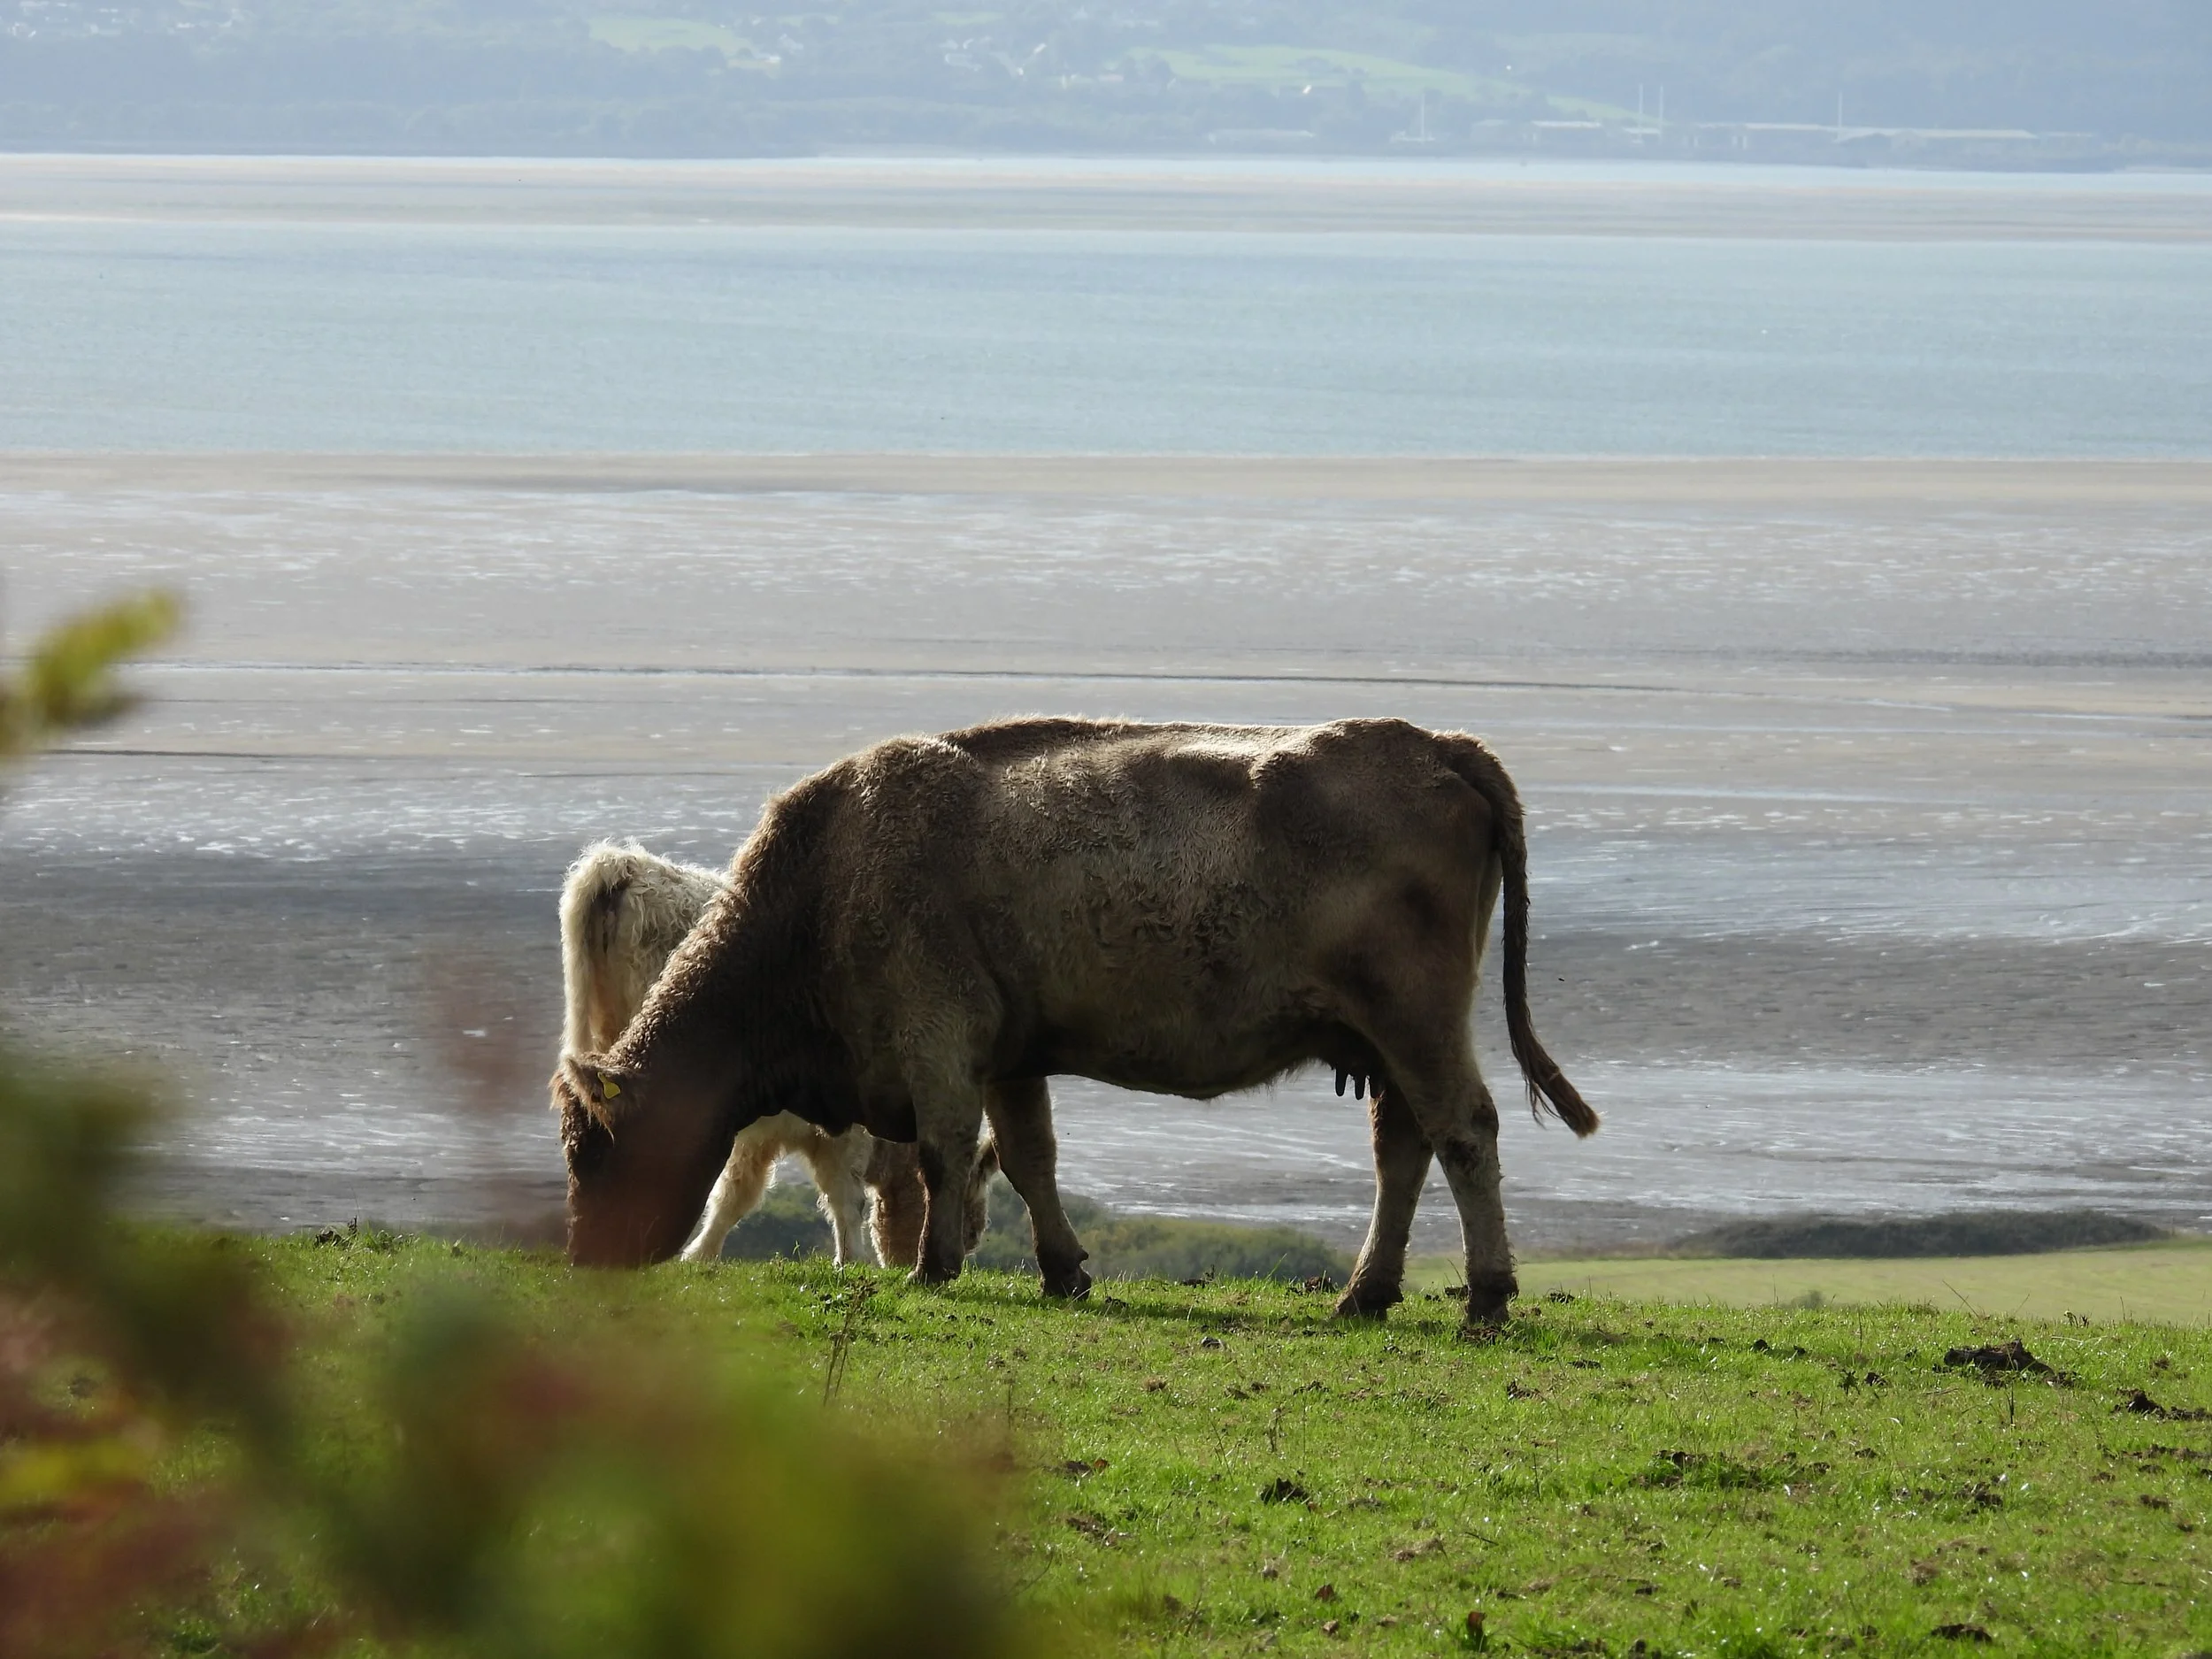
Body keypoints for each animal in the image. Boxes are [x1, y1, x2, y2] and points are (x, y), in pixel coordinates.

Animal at [557, 840, 994, 1268]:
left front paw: (701, 1255)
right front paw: (852, 1259)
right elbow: (840, 1193)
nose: (908, 1263)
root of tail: (626, 864)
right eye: (971, 1230)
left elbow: (737, 1193)